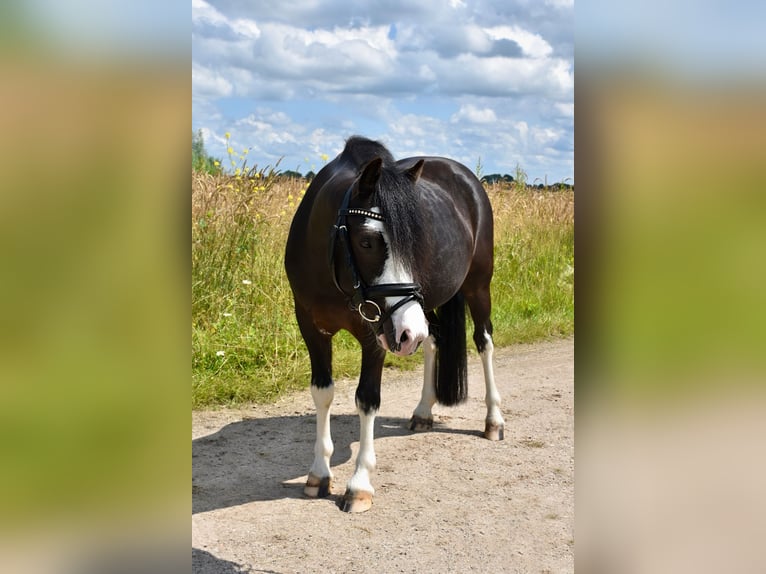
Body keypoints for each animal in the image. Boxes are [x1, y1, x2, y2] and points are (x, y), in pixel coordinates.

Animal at [284, 137, 508, 516]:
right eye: (366, 241)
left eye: (415, 243)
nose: (408, 333)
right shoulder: (312, 328)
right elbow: (322, 393)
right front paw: (319, 473)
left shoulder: (375, 334)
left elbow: (367, 399)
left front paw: (359, 485)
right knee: (433, 341)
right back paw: (423, 412)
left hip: (475, 287)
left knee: (484, 341)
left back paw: (494, 421)